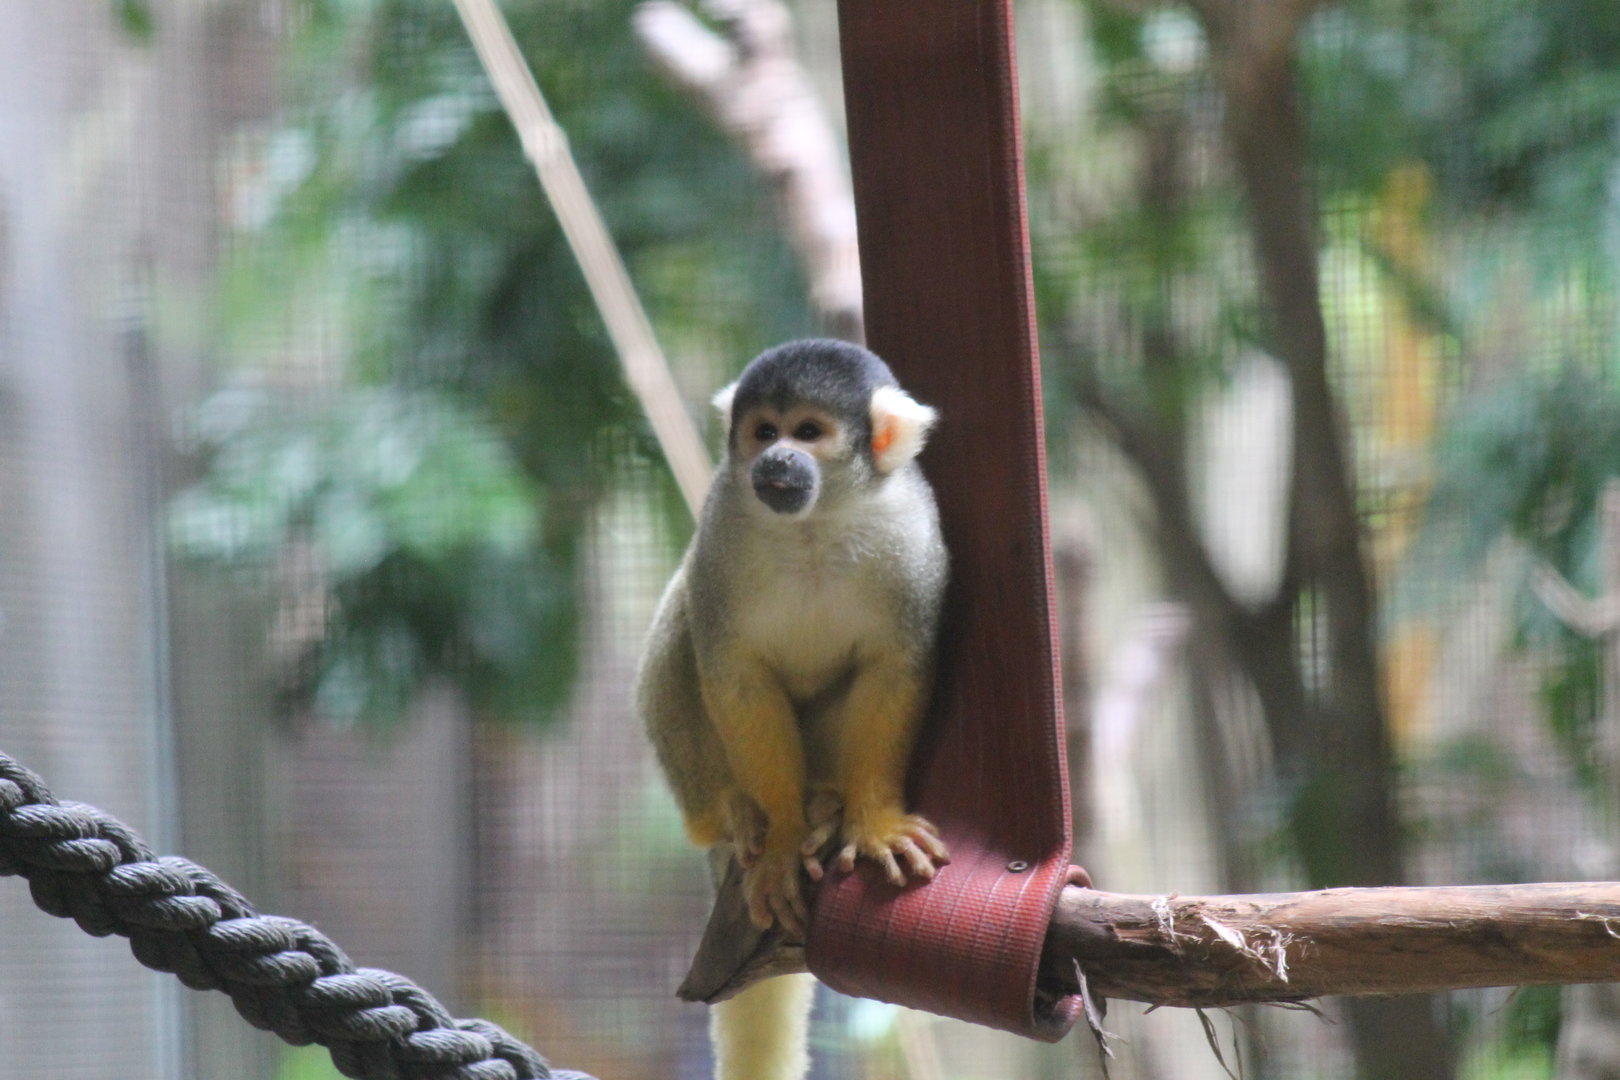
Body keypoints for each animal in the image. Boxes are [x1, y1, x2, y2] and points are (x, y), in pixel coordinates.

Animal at [636, 338, 951, 1080]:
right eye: (763, 432)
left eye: (807, 431)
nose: (774, 461)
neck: (814, 524)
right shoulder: (723, 520)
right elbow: (733, 667)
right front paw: (780, 838)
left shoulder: (912, 528)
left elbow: (895, 664)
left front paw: (872, 821)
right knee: (685, 617)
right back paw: (732, 811)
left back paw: (829, 803)